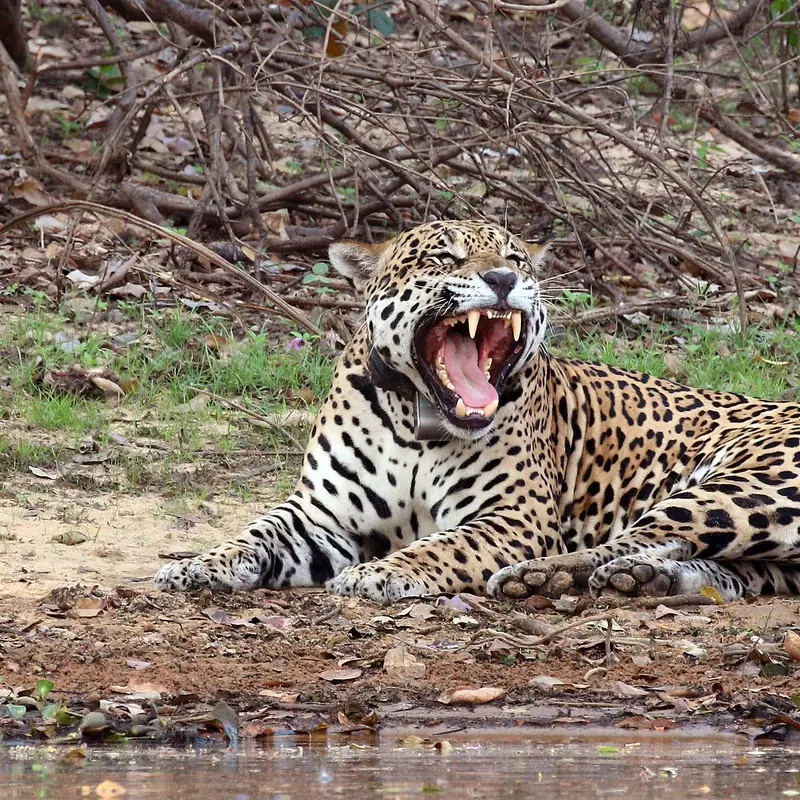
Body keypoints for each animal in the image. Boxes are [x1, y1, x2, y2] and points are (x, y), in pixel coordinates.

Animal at [155, 220, 800, 605]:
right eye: (445, 256)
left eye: (517, 257)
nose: (504, 276)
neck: (418, 421)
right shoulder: (321, 516)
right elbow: (255, 531)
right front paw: (197, 564)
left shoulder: (513, 516)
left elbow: (443, 546)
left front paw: (378, 573)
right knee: (725, 565)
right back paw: (649, 579)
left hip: (745, 486)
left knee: (640, 539)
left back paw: (546, 576)